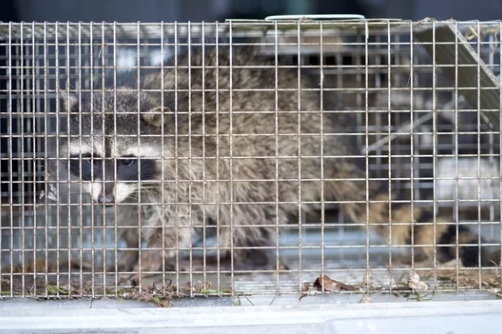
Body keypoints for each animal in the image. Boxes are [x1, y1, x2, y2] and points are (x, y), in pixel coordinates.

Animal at [57, 45, 490, 280]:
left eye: (126, 161)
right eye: (92, 159)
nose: (104, 200)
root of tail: (331, 145)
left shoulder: (186, 164)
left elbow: (177, 219)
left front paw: (152, 254)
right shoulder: (129, 188)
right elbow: (130, 212)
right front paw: (129, 248)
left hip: (277, 153)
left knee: (247, 201)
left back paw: (234, 257)